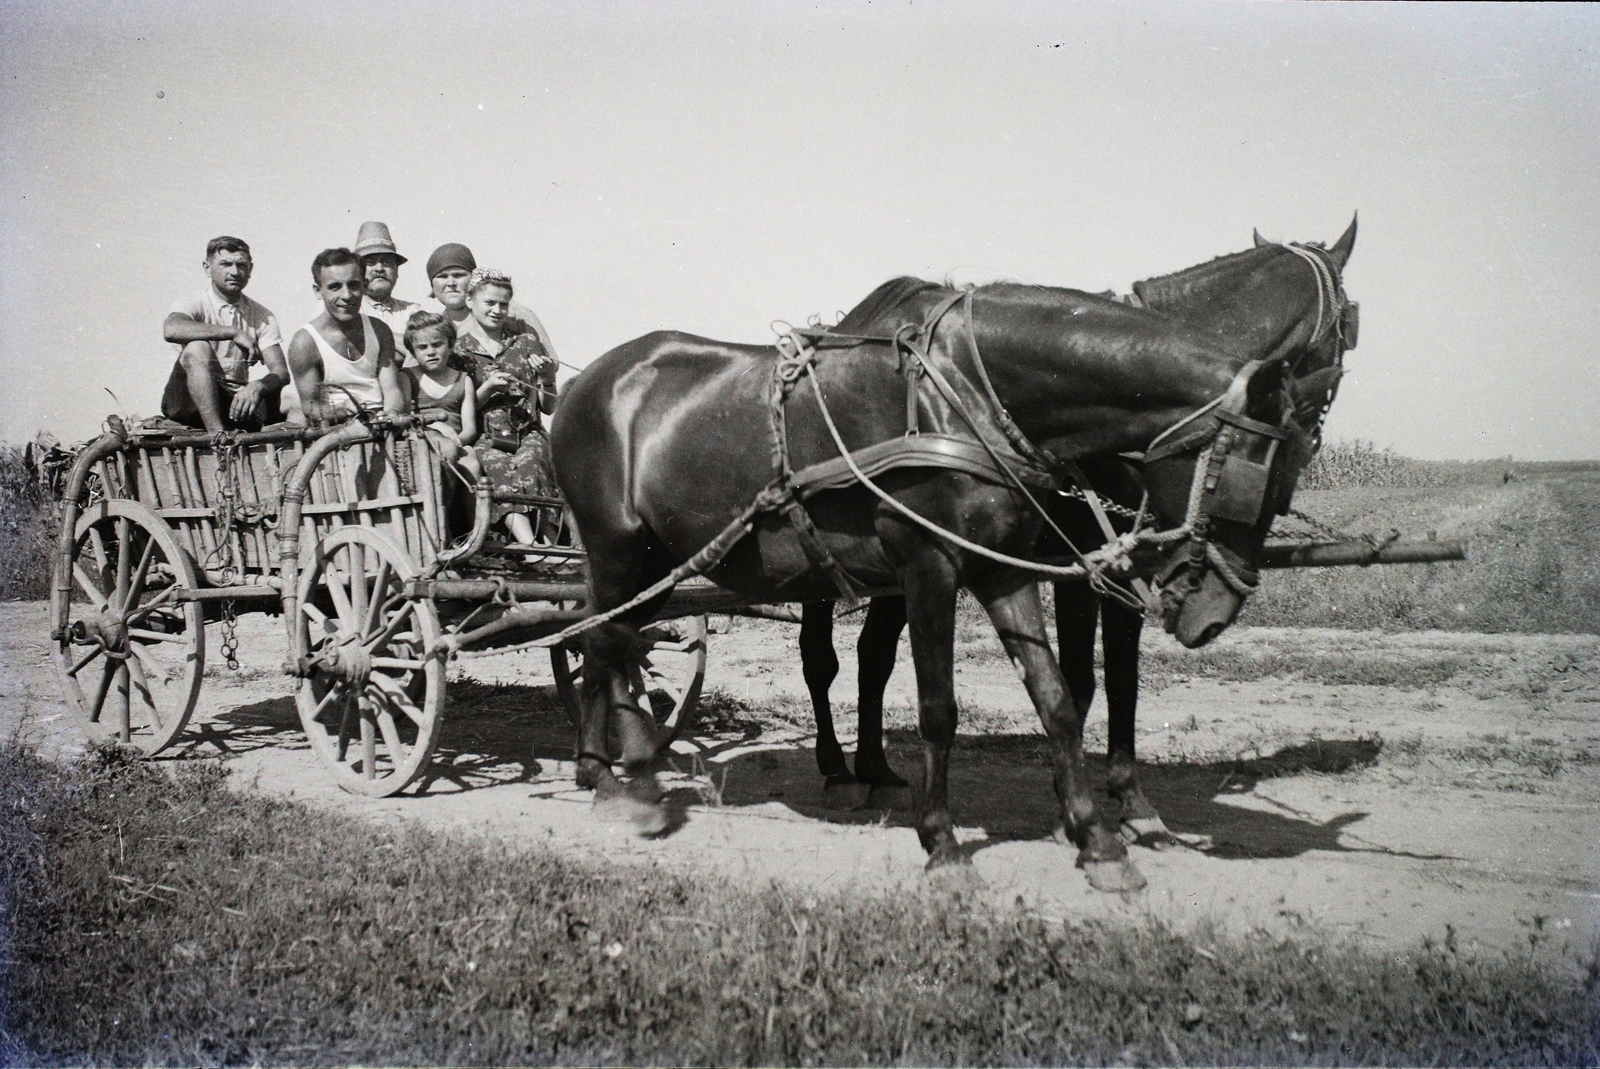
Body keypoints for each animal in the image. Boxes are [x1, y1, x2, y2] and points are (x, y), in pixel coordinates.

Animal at [556, 273, 1331, 883]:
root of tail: (583, 382)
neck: (965, 396)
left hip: (655, 558)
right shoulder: (929, 566)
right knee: (609, 643)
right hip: (616, 547)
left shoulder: (1002, 570)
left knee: (611, 643)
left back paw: (614, 769)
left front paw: (1098, 840)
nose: (1213, 614)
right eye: (1254, 485)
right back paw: (624, 783)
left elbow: (1057, 700)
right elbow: (939, 709)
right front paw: (943, 843)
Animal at [793, 219, 1356, 844]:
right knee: (821, 659)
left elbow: (1122, 680)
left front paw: (1130, 800)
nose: (1312, 434)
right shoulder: (1083, 566)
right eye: (1347, 327)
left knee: (873, 656)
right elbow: (1082, 679)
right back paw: (837, 770)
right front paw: (1071, 801)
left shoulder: (1129, 569)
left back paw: (876, 768)